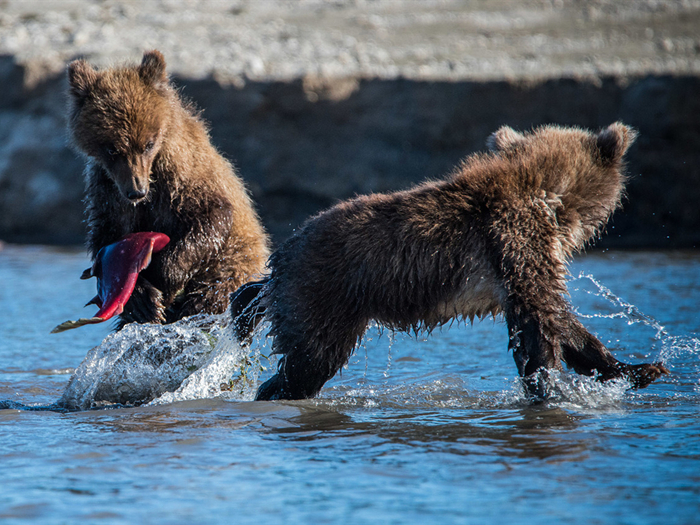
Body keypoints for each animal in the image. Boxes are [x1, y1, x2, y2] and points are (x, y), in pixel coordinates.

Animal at [66, 51, 268, 326]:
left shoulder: (184, 175)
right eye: (111, 148)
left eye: (148, 144)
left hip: (232, 265)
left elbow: (213, 215)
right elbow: (107, 233)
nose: (136, 191)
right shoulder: (107, 188)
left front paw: (162, 280)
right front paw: (141, 300)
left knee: (213, 294)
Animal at [234, 123, 668, 400]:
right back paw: (272, 391)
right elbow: (541, 316)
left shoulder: (509, 271)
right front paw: (552, 387)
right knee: (309, 362)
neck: (554, 200)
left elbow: (559, 321)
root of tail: (282, 255)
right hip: (325, 293)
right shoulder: (514, 239)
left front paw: (638, 369)